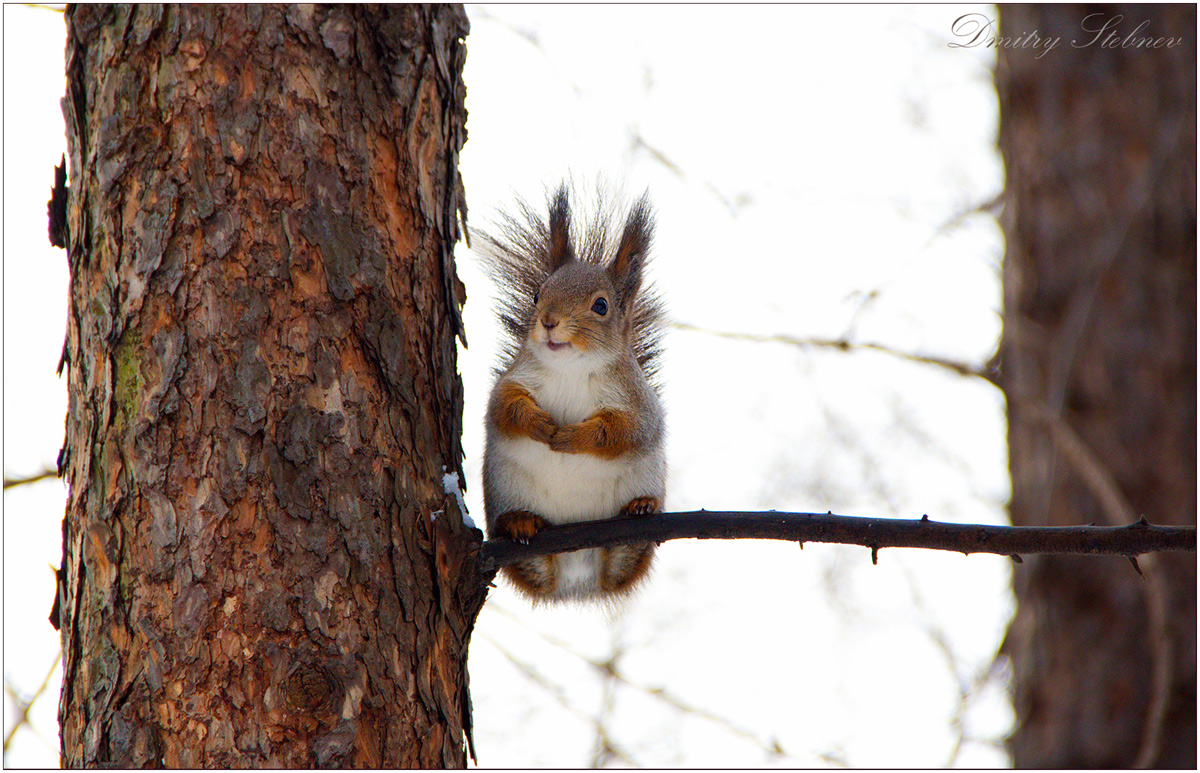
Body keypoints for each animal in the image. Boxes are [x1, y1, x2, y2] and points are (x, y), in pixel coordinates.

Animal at [475, 182, 667, 604]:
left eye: (601, 306)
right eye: (536, 295)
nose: (548, 322)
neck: (570, 369)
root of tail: (577, 582)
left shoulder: (636, 403)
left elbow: (624, 432)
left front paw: (572, 436)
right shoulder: (514, 379)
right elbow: (503, 409)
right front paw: (538, 423)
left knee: (625, 559)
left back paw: (640, 511)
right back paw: (519, 522)